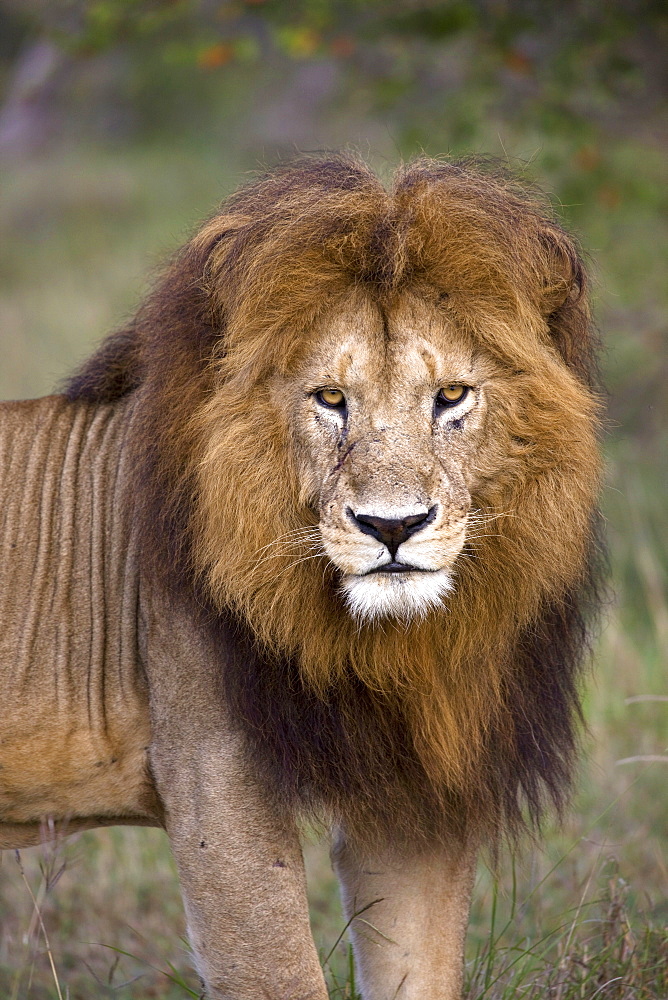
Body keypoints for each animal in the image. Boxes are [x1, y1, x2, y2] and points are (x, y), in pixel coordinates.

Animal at [0, 152, 604, 996]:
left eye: (451, 395)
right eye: (329, 398)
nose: (393, 527)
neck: (385, 649)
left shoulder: (415, 801)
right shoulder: (214, 779)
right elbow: (281, 972)